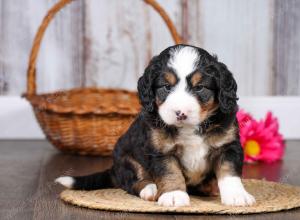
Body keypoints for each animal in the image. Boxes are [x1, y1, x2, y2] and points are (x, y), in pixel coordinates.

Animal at [55, 45, 254, 208]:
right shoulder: (160, 150)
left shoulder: (228, 145)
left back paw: (211, 187)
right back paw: (150, 189)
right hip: (127, 160)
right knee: (133, 182)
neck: (190, 128)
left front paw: (237, 196)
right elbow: (170, 172)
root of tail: (113, 169)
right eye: (166, 87)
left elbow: (229, 172)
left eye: (199, 88)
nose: (180, 113)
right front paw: (174, 195)